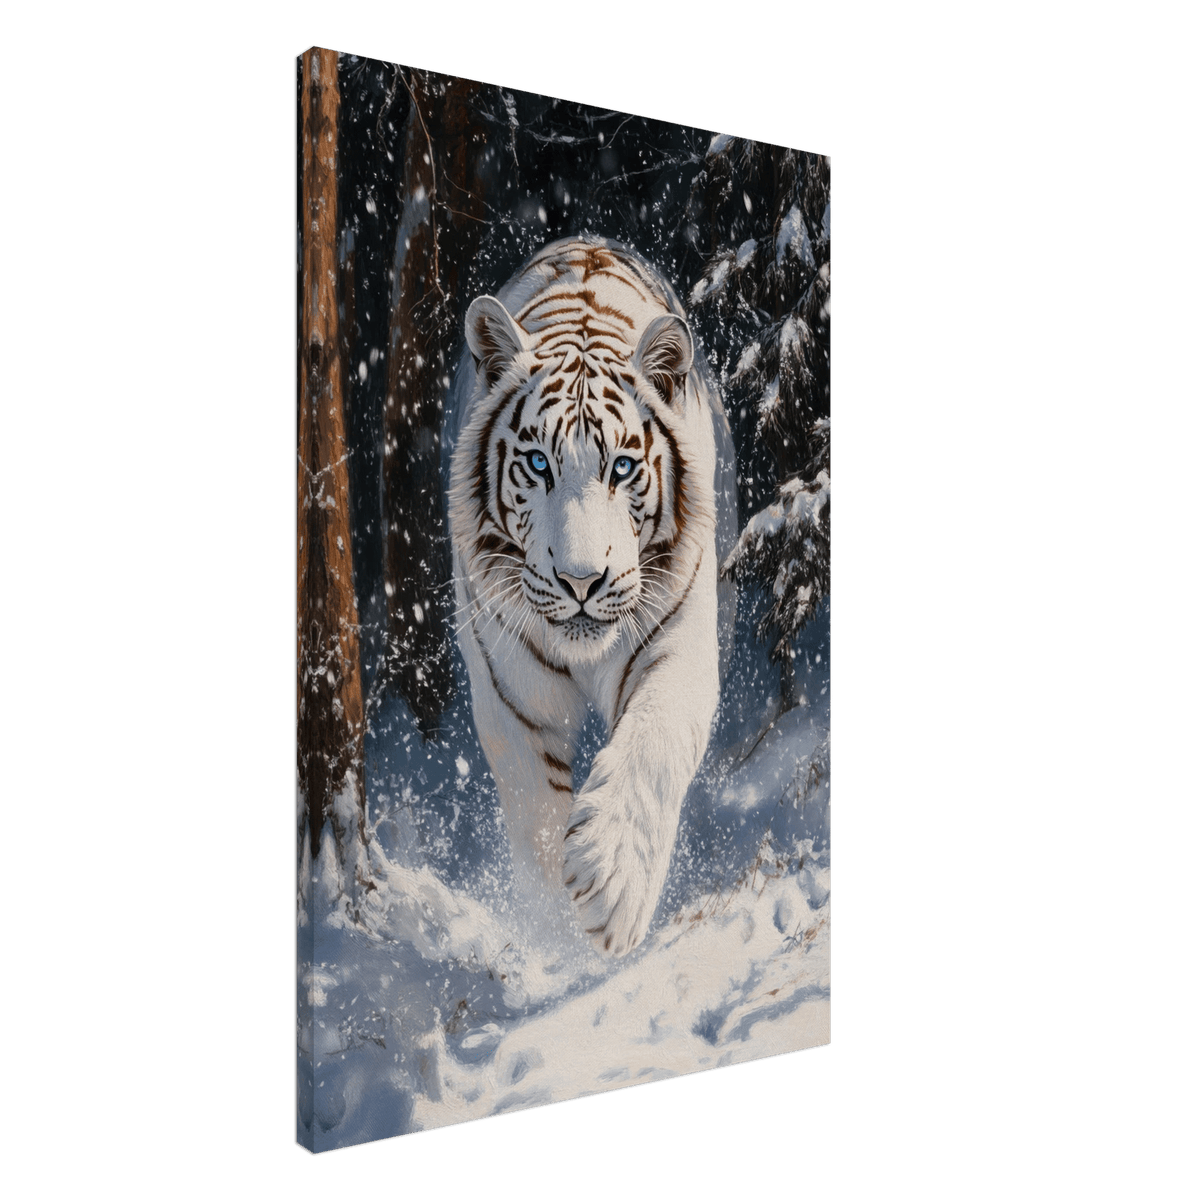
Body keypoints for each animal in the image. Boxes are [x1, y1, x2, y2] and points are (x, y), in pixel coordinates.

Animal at [447, 237, 735, 957]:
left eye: (623, 468)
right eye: (538, 464)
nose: (582, 581)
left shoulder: (679, 645)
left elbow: (654, 746)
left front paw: (611, 886)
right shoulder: (511, 690)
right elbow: (534, 811)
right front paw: (557, 934)